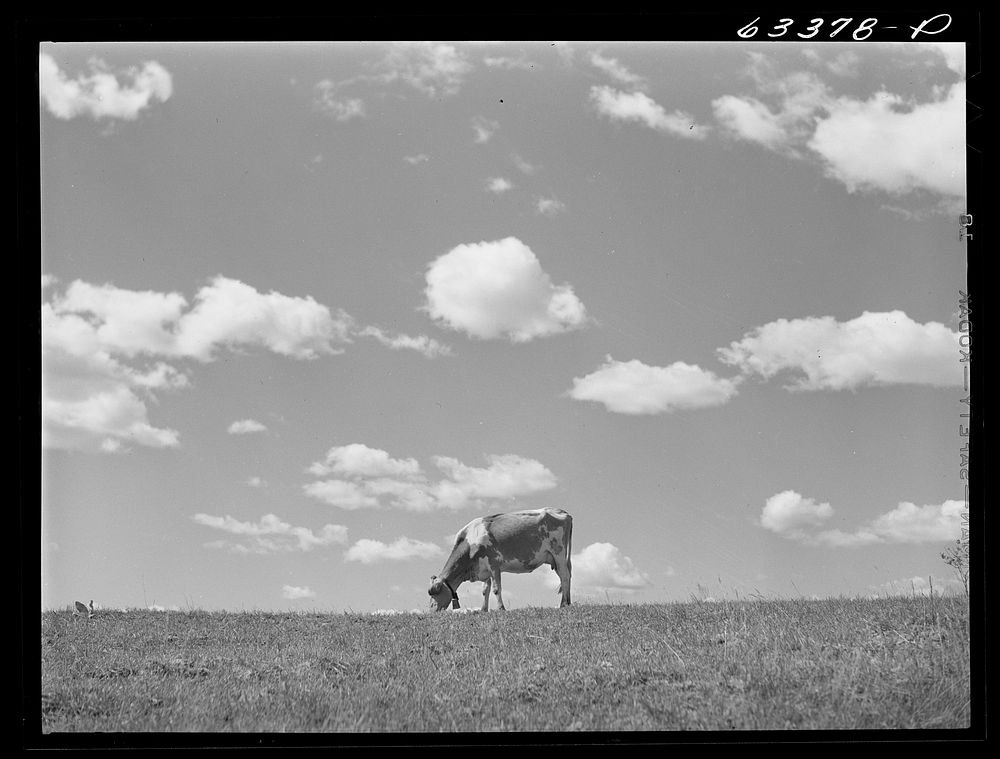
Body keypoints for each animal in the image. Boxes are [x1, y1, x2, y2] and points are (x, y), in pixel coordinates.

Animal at [426, 508, 576, 616]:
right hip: (554, 559)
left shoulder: (494, 564)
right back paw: (567, 602)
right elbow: (484, 590)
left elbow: (496, 589)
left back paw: (563, 604)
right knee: (565, 576)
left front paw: (501, 608)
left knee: (565, 576)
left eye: (434, 593)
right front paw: (483, 609)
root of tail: (563, 512)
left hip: (559, 553)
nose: (431, 612)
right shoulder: (483, 569)